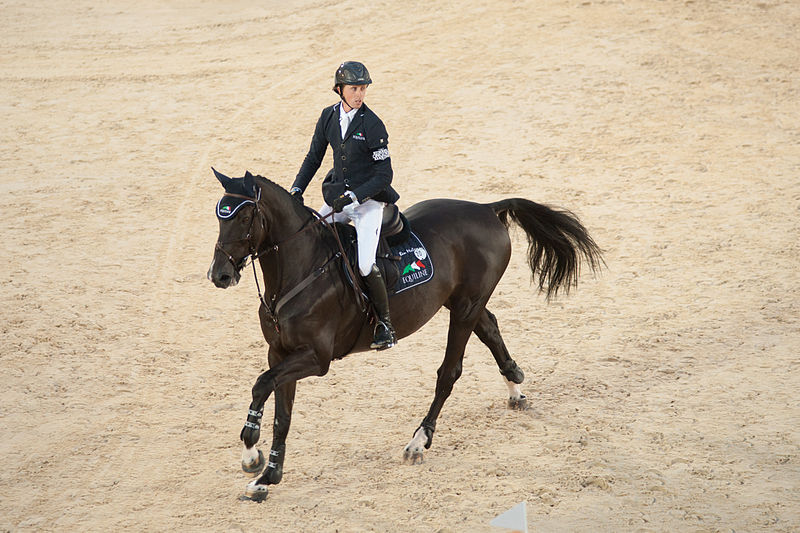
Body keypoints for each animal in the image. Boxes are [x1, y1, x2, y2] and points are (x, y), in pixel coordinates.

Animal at [206, 169, 600, 498]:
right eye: (218, 215)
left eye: (244, 217)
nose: (219, 275)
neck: (300, 272)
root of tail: (486, 209)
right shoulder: (280, 353)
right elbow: (281, 415)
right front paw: (265, 477)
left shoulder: (316, 359)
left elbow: (261, 385)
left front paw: (251, 455)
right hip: (461, 303)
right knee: (489, 327)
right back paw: (516, 386)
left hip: (464, 308)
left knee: (449, 372)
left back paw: (418, 441)